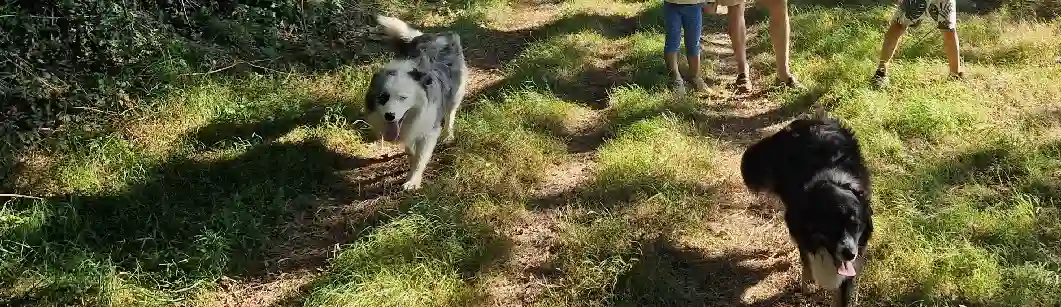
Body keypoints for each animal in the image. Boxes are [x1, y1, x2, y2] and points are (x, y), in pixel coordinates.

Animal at [742, 114, 874, 305]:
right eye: (831, 226)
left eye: (856, 225)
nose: (850, 254)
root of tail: (811, 120)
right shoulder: (800, 230)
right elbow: (806, 259)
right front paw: (807, 285)